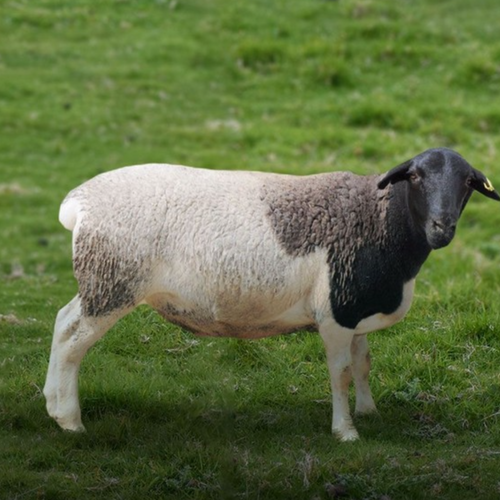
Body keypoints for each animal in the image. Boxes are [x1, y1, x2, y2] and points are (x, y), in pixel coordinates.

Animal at [45, 148, 498, 442]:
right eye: (416, 177)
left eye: (467, 182)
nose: (442, 226)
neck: (381, 220)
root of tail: (77, 204)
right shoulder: (335, 314)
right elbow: (340, 373)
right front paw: (346, 431)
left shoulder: (355, 308)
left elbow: (363, 364)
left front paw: (369, 412)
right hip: (111, 284)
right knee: (72, 342)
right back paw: (70, 420)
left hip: (97, 284)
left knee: (62, 321)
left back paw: (52, 403)